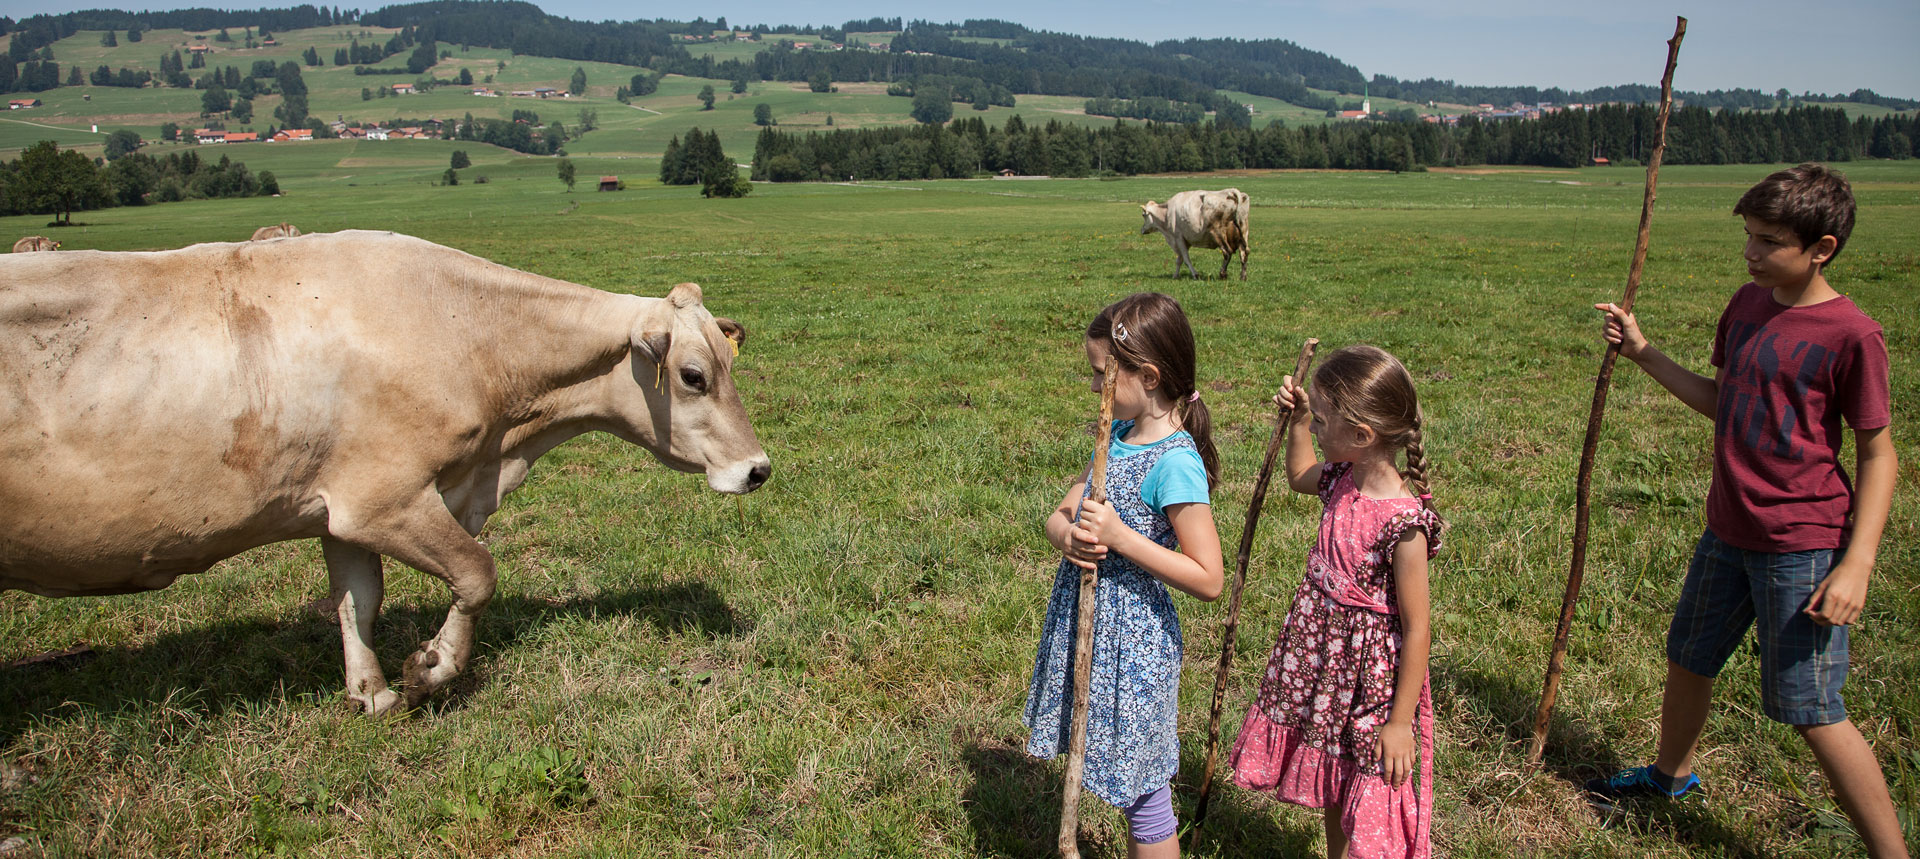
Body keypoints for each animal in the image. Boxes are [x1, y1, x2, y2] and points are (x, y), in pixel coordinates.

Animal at [1, 230, 764, 718]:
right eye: (693, 376)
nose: (758, 469)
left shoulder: (339, 511)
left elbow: (356, 600)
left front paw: (369, 691)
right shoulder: (385, 500)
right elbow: (476, 572)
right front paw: (430, 670)